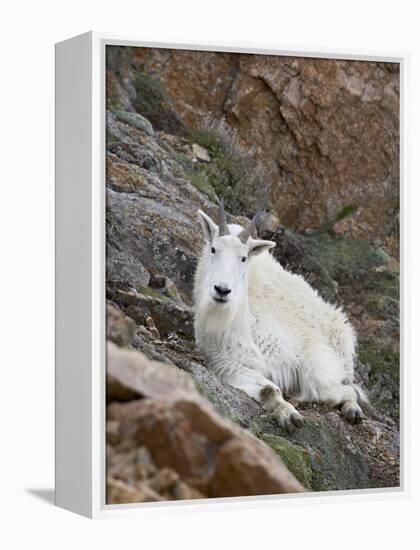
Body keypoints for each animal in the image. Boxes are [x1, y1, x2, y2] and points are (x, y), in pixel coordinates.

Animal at [192, 201, 366, 434]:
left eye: (243, 258)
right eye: (213, 249)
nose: (222, 290)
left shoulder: (307, 354)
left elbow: (324, 386)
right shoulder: (226, 362)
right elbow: (267, 389)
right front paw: (289, 415)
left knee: (347, 386)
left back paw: (352, 409)